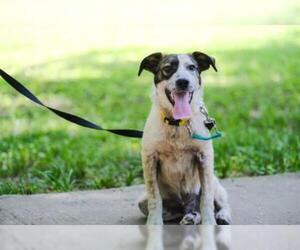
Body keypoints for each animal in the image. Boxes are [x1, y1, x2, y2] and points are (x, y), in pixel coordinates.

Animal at [137, 51, 231, 226]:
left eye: (192, 67)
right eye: (167, 68)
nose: (183, 82)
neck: (177, 124)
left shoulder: (205, 157)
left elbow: (206, 198)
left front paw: (209, 223)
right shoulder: (149, 158)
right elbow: (155, 198)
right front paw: (154, 223)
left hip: (215, 184)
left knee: (218, 201)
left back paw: (219, 215)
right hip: (143, 201)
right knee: (178, 210)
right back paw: (189, 216)